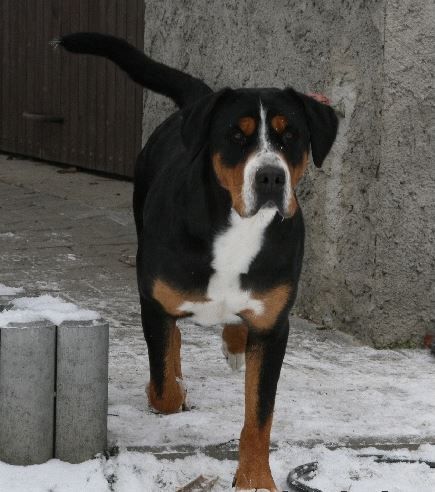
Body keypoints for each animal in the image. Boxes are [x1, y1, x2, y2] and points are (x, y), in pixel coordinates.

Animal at [58, 32, 338, 491]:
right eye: (236, 136)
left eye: (290, 135)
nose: (270, 176)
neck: (238, 228)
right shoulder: (153, 303)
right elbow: (164, 387)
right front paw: (172, 388)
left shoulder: (273, 327)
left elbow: (259, 416)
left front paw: (255, 477)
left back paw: (234, 341)